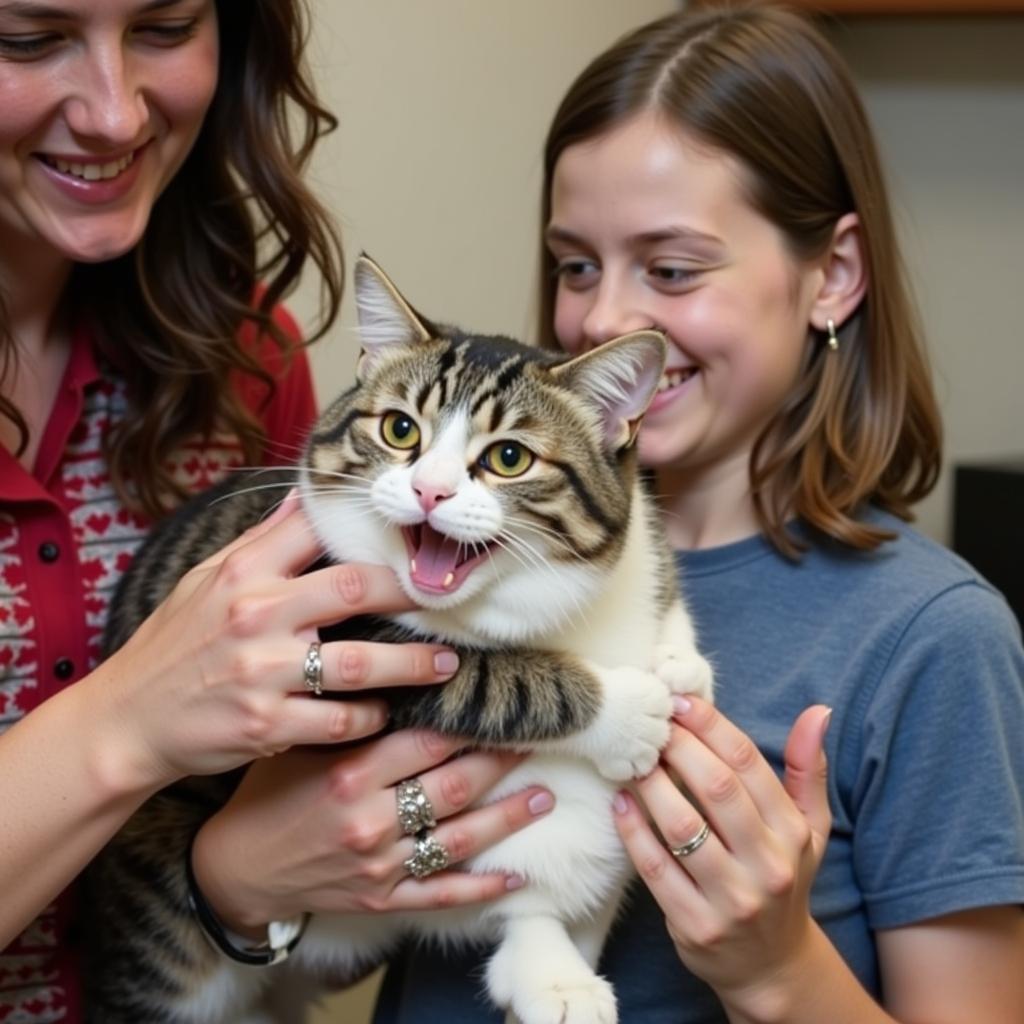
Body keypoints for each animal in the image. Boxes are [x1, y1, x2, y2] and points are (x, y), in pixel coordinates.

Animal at [86, 256, 712, 1024]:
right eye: (399, 429)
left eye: (509, 457)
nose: (429, 491)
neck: (545, 612)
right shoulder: (338, 633)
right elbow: (492, 680)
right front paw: (623, 711)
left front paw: (680, 665)